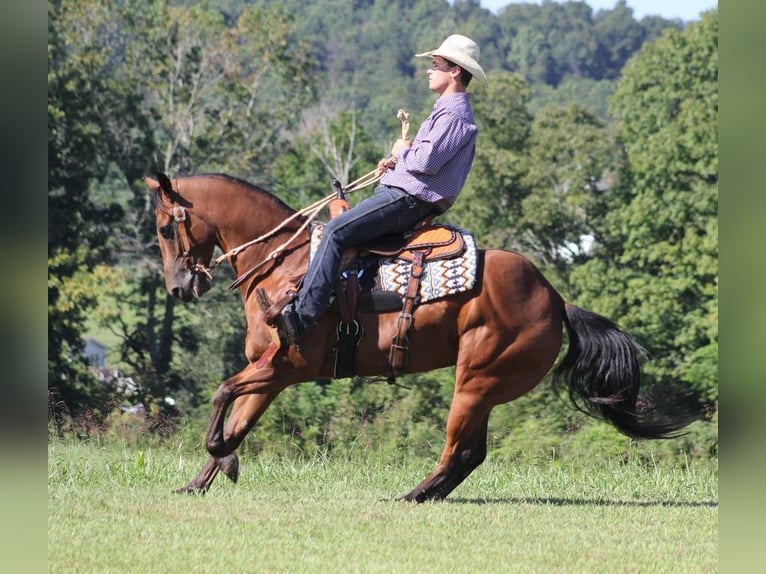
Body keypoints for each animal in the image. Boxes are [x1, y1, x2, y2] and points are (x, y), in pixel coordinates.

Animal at [147, 172, 700, 504]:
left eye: (165, 228)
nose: (178, 286)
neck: (287, 266)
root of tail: (556, 299)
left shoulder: (287, 368)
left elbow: (222, 396)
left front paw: (223, 459)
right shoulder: (269, 371)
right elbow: (238, 420)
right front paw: (203, 478)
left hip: (475, 381)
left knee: (458, 450)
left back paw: (414, 495)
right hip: (484, 388)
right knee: (472, 453)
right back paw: (428, 494)